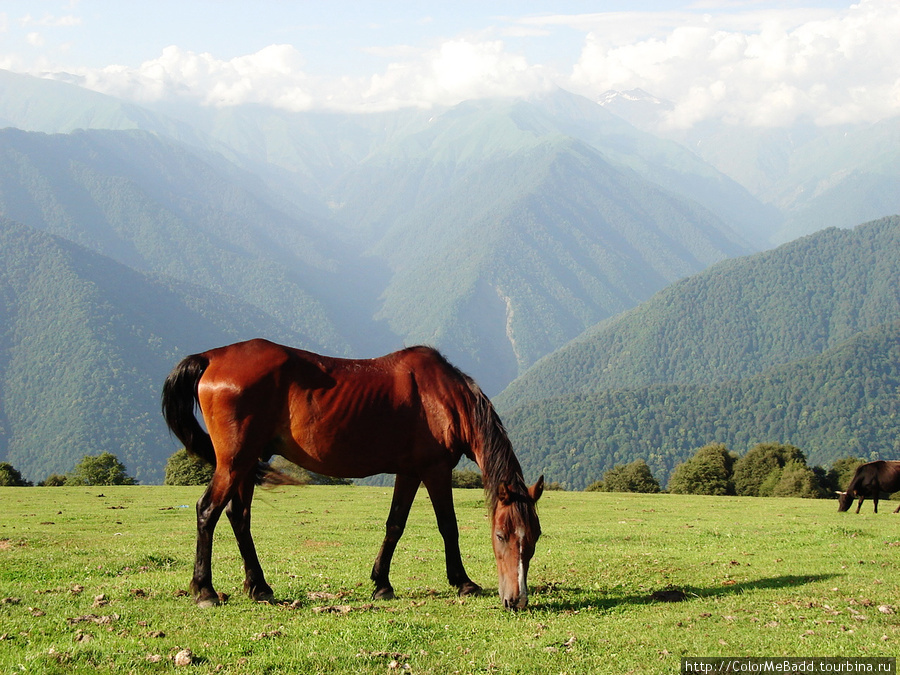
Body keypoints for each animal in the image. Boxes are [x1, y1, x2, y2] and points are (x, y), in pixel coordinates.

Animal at [161, 340, 540, 608]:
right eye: (501, 536)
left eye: (534, 538)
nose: (517, 600)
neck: (444, 397)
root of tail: (212, 357)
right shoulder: (434, 469)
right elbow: (448, 525)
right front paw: (464, 582)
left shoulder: (408, 472)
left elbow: (395, 525)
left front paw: (382, 583)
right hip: (233, 462)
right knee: (207, 511)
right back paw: (205, 591)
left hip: (244, 464)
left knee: (238, 516)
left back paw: (259, 586)